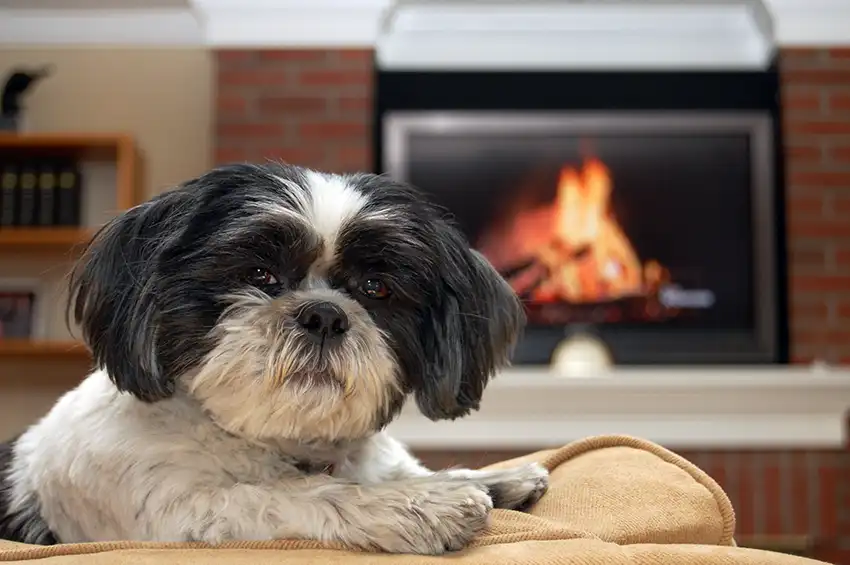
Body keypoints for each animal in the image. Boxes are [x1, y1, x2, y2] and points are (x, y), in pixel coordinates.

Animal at [0, 163, 544, 556]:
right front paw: (418, 505)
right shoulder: (176, 511)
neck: (277, 441)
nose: (324, 315)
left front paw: (490, 478)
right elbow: (288, 494)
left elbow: (403, 471)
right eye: (259, 274)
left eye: (376, 287)